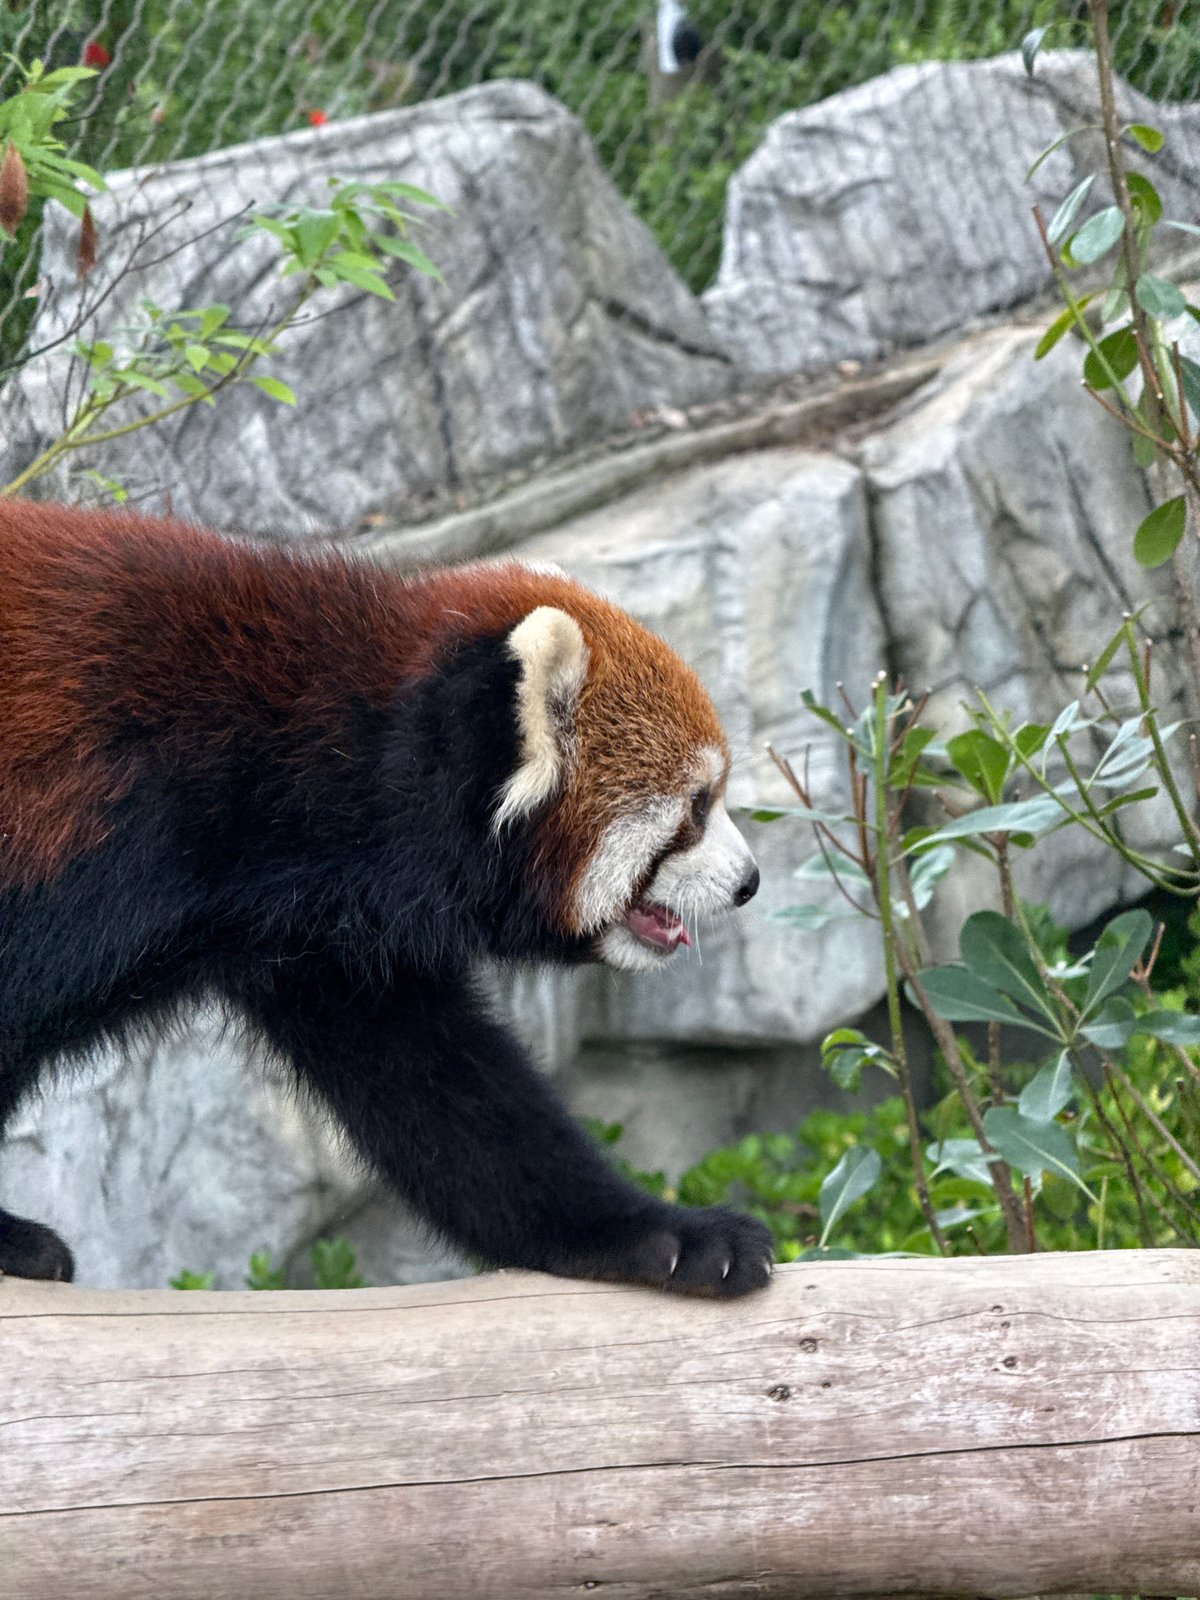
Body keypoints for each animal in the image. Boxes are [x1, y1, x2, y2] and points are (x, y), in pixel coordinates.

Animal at [0, 499, 772, 1296]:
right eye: (696, 807)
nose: (749, 881)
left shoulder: (319, 930)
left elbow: (444, 1096)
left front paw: (659, 1236)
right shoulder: (102, 844)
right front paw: (9, 1241)